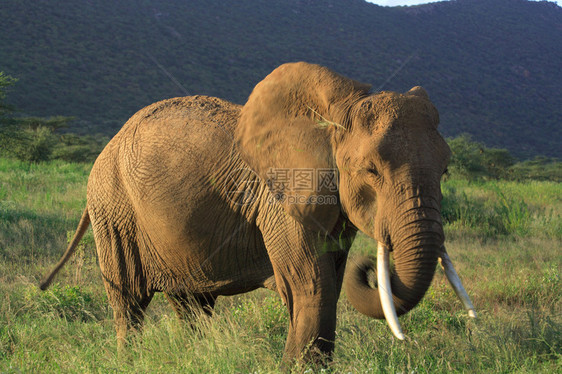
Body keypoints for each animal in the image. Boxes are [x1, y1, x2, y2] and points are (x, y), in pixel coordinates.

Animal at [41, 62, 474, 366]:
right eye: (371, 171)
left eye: (445, 171)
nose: (369, 266)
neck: (331, 115)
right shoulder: (279, 200)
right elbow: (312, 284)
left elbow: (331, 280)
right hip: (113, 209)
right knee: (129, 301)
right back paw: (131, 360)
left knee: (191, 302)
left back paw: (197, 358)